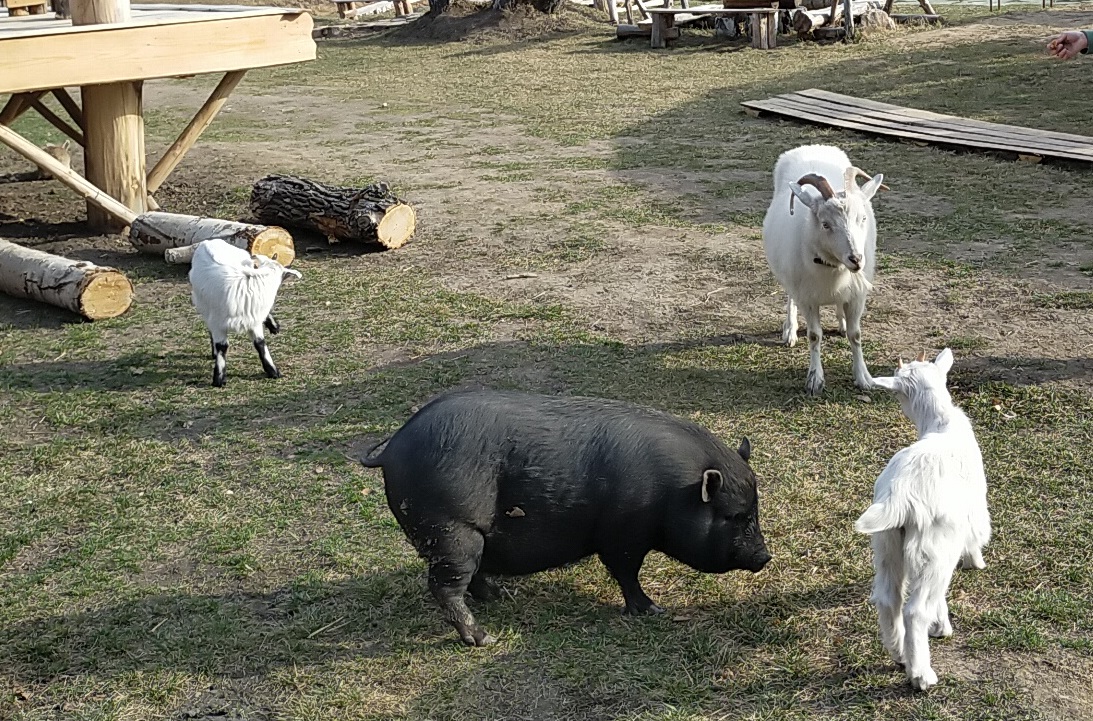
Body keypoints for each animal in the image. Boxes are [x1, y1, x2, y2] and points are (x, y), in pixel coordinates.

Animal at [189, 238, 301, 387]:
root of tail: (209, 241)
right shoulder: (218, 323)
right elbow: (222, 347)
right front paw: (219, 378)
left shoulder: (254, 321)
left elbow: (260, 343)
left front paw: (273, 371)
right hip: (203, 306)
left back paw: (274, 327)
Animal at [360, 389, 772, 647]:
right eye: (734, 515)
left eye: (755, 508)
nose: (765, 556)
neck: (672, 492)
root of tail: (391, 448)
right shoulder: (622, 535)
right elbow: (626, 573)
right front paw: (653, 610)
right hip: (451, 532)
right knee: (445, 588)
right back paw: (483, 639)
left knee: (471, 577)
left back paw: (501, 596)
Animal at [761, 144, 886, 395]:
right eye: (826, 224)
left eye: (863, 218)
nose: (856, 259)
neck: (833, 268)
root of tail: (811, 146)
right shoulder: (808, 298)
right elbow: (814, 336)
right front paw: (815, 379)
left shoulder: (857, 295)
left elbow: (856, 335)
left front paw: (864, 378)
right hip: (792, 279)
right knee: (790, 298)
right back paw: (790, 330)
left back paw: (841, 322)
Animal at [855, 348, 991, 691]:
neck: (940, 423)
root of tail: (901, 494)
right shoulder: (972, 515)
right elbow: (975, 540)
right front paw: (976, 563)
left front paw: (941, 621)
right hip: (935, 549)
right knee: (915, 610)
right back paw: (921, 674)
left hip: (887, 544)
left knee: (888, 598)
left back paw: (899, 652)